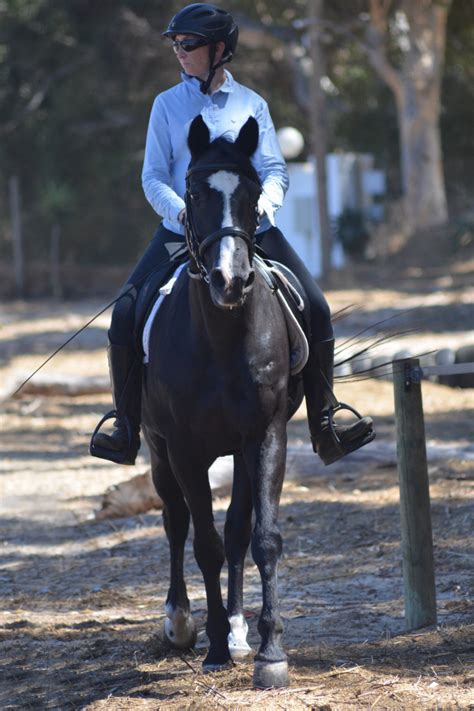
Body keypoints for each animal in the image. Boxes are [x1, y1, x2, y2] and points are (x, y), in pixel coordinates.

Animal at [141, 115, 304, 688]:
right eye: (192, 193)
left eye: (253, 195)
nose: (230, 280)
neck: (221, 338)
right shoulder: (184, 449)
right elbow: (204, 544)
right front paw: (210, 645)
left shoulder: (266, 434)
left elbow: (260, 537)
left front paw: (269, 651)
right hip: (157, 448)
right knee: (175, 522)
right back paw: (181, 620)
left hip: (236, 449)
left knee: (235, 531)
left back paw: (236, 629)